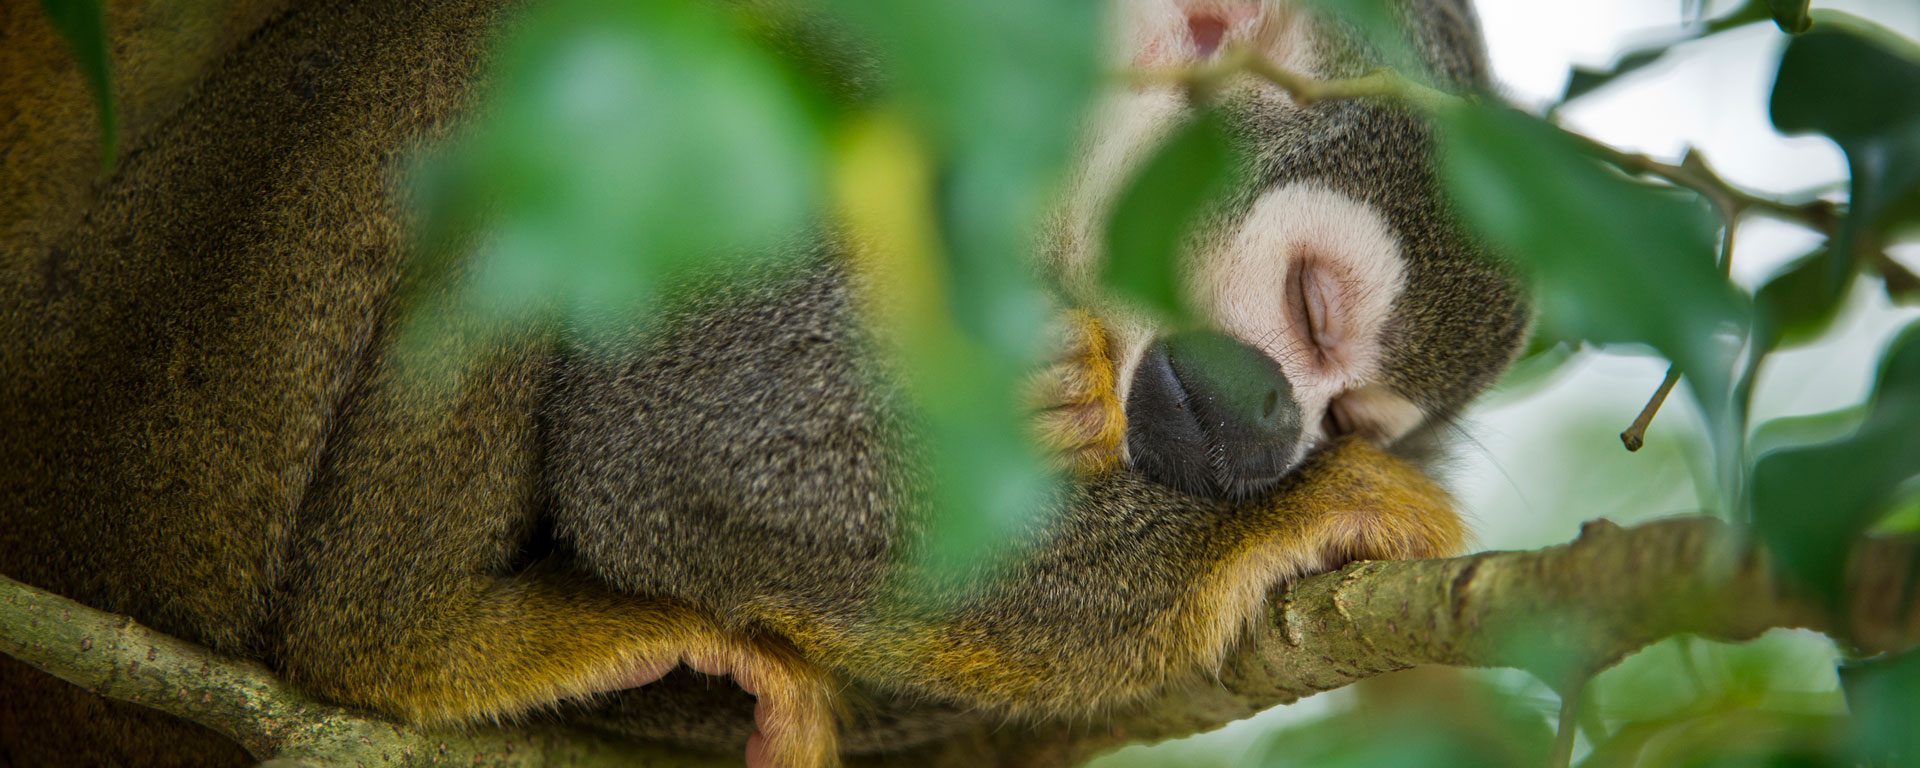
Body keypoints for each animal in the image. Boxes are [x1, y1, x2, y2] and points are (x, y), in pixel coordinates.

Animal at [3, 1, 1528, 768]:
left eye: (1355, 408)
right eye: (1311, 308)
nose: (1277, 437)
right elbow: (681, 455)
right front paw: (1289, 522)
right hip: (159, 425)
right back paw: (401, 635)